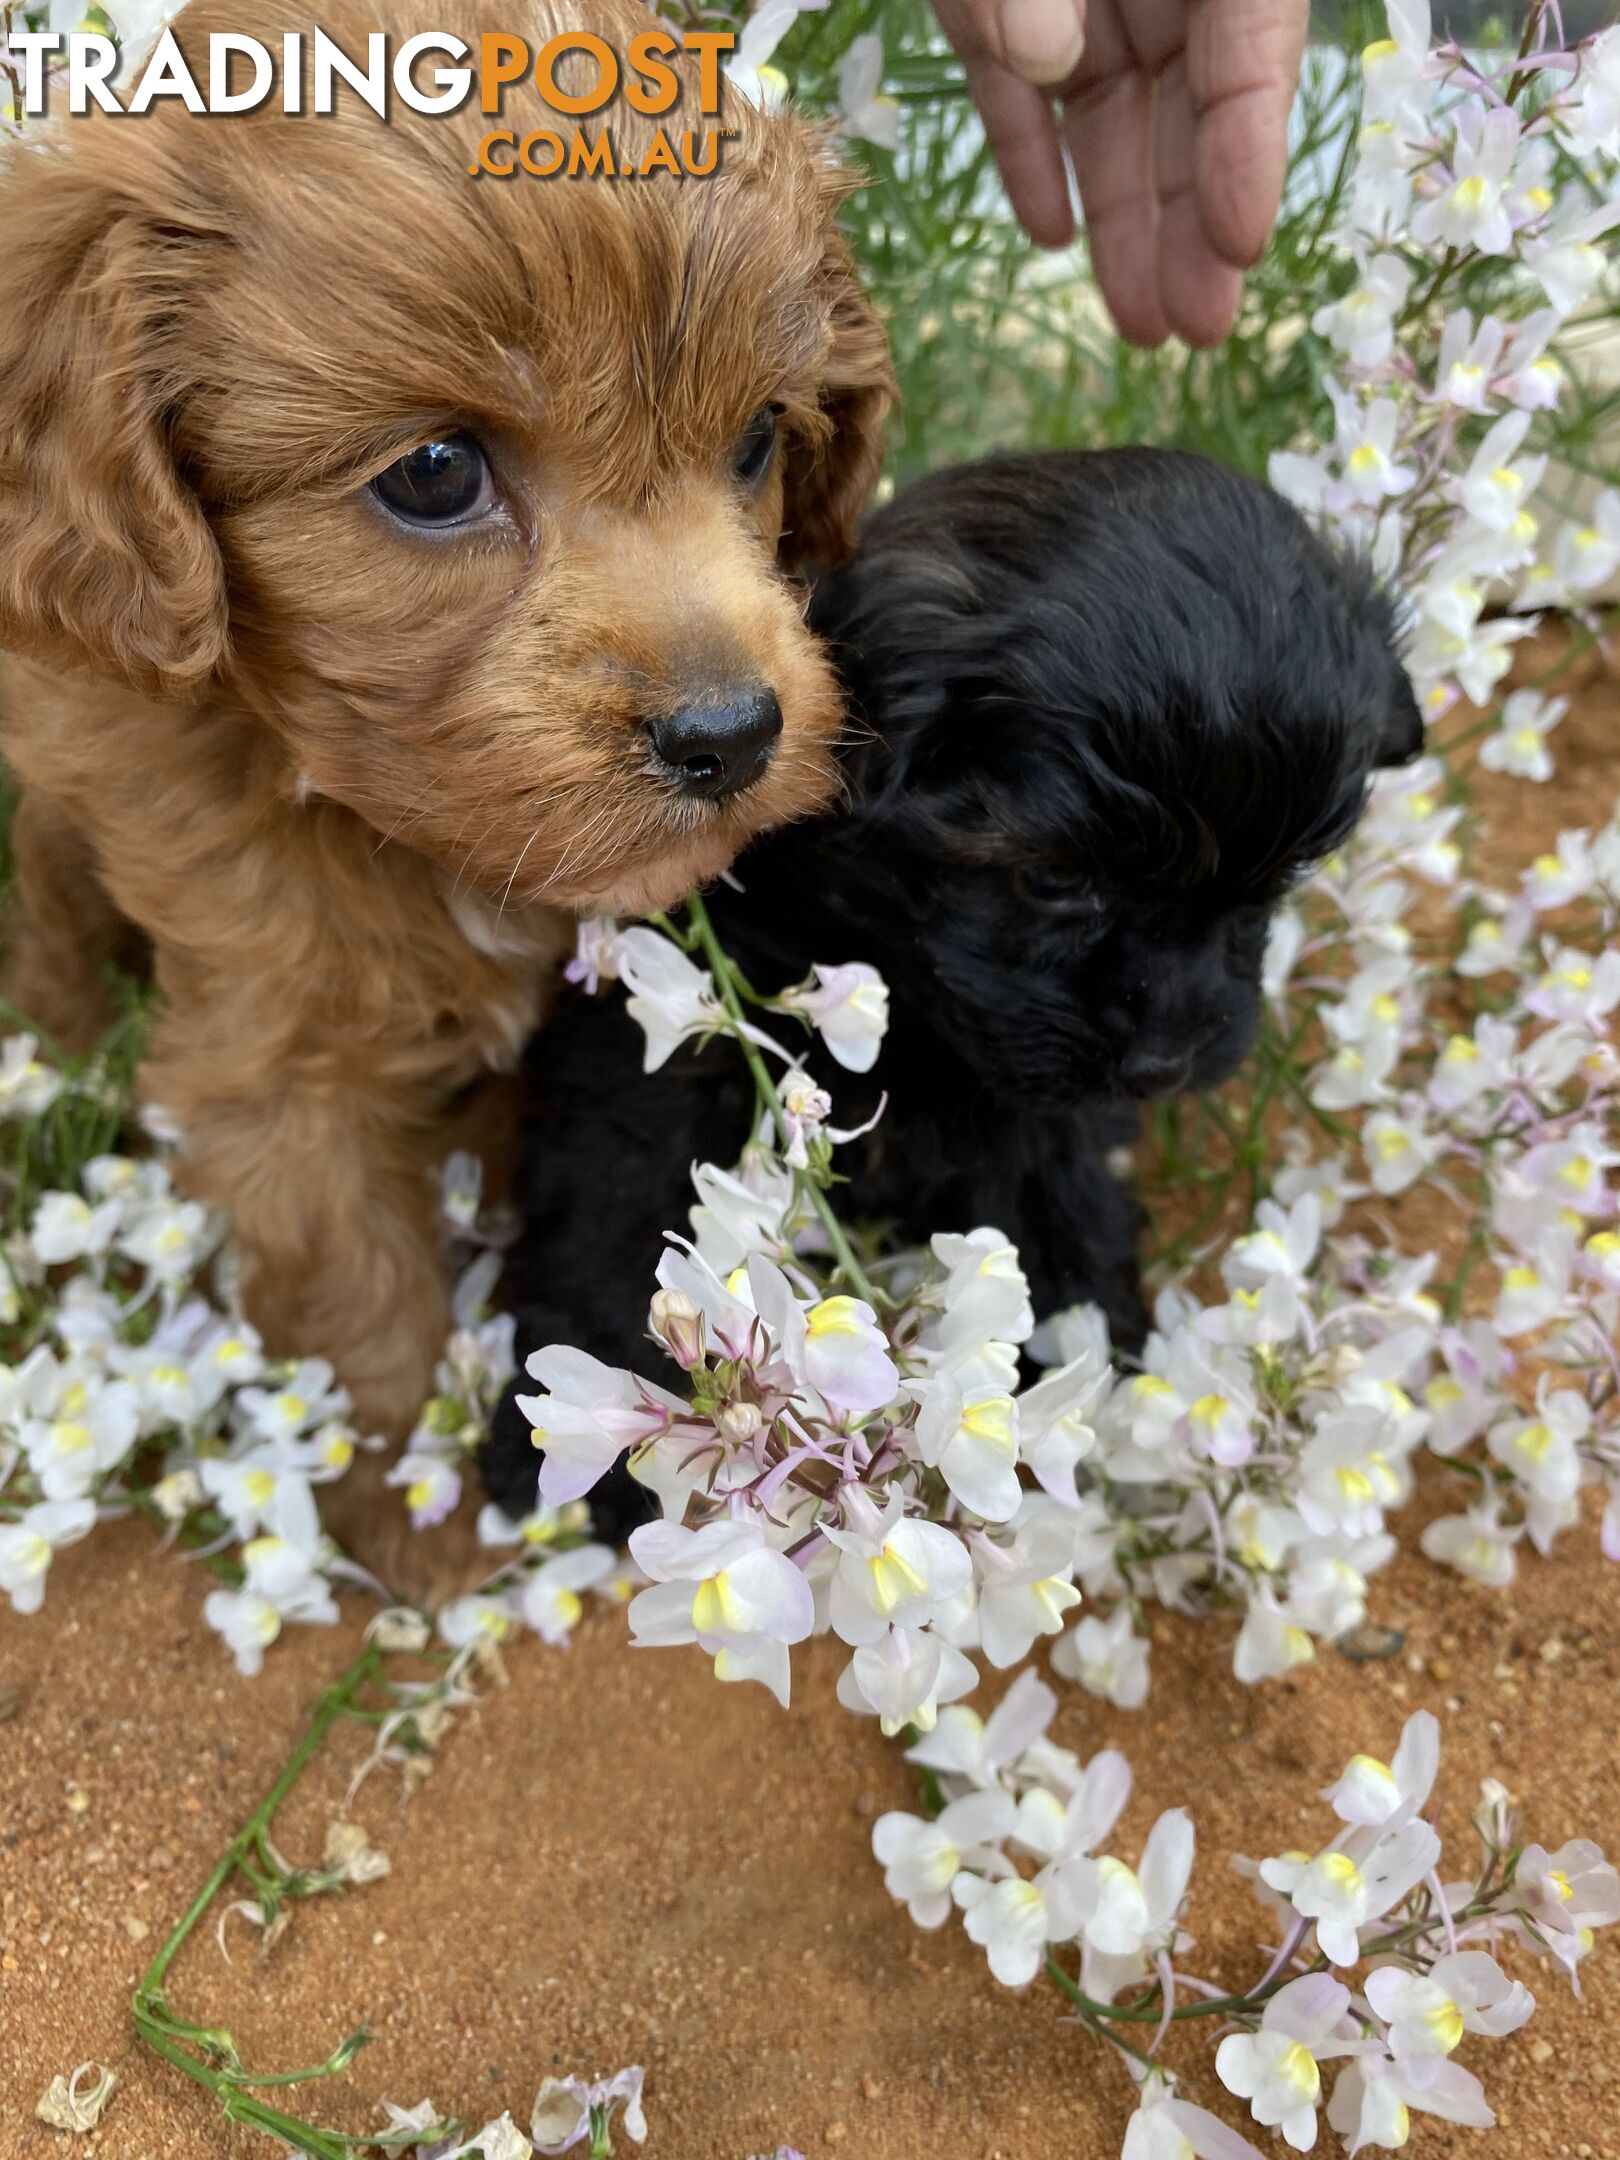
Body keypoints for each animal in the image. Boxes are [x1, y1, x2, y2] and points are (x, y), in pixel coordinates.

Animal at [0, 0, 889, 1537]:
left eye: (761, 438)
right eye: (431, 475)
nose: (730, 734)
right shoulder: (274, 1070)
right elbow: (355, 1303)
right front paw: (415, 1525)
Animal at [479, 442, 1416, 1520]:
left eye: (1273, 888)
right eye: (1054, 880)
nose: (1163, 1064)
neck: (907, 997)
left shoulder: (1044, 1117)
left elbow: (1060, 1204)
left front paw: (1089, 1361)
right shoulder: (660, 1054)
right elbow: (619, 1194)